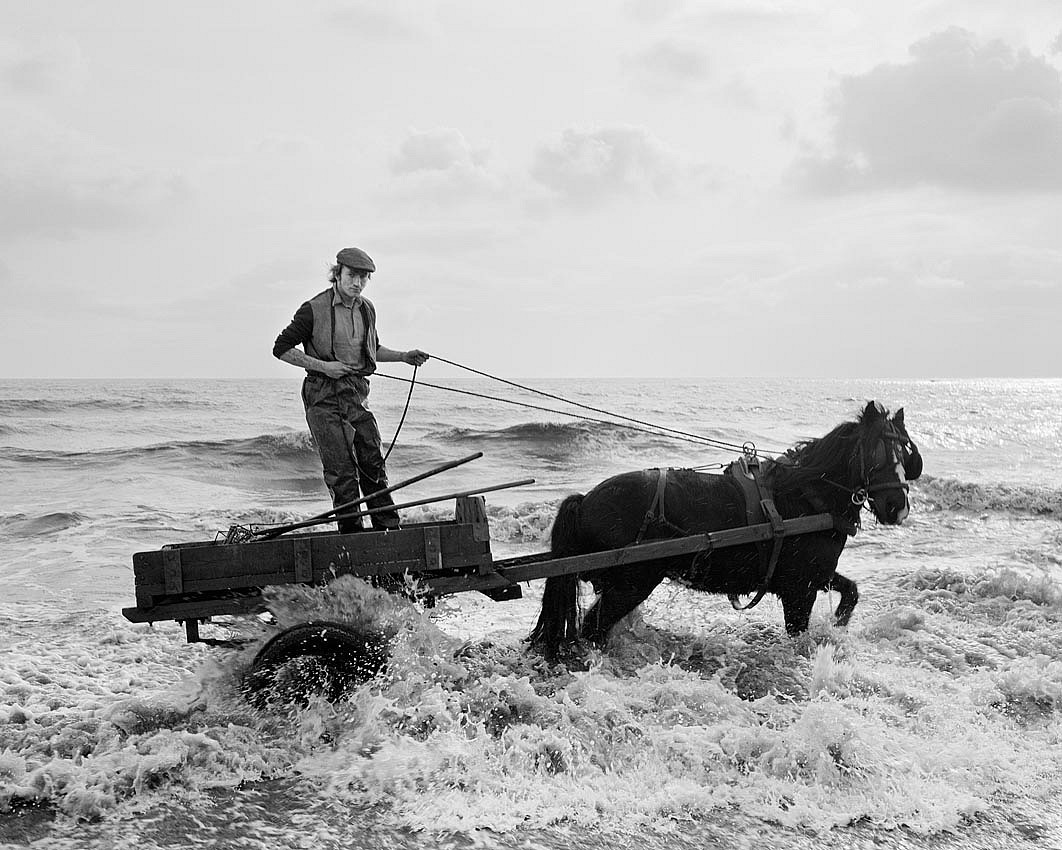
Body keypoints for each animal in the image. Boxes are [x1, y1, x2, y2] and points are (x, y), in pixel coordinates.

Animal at [531, 401, 921, 654]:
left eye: (906, 454)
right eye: (875, 453)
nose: (897, 507)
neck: (805, 497)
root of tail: (586, 501)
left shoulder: (816, 575)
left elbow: (851, 591)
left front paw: (839, 623)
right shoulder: (800, 590)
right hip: (631, 584)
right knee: (591, 630)